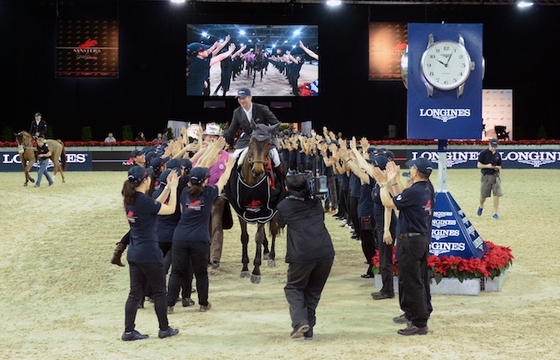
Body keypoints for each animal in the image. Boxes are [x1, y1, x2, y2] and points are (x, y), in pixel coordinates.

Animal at [224, 124, 284, 284]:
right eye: (251, 142)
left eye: (268, 143)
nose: (257, 170)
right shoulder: (241, 211)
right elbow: (245, 237)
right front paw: (245, 268)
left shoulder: (264, 211)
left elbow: (258, 237)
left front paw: (256, 272)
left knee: (273, 231)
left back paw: (271, 257)